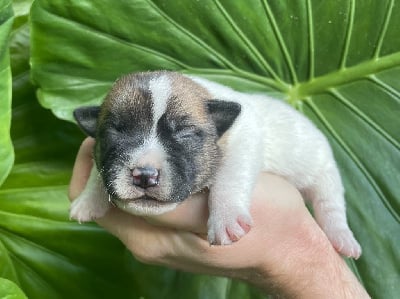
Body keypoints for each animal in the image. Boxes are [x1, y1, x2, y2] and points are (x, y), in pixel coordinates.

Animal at [69, 71, 362, 260]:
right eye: (115, 132)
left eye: (185, 133)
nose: (144, 175)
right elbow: (99, 170)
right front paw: (87, 200)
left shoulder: (245, 136)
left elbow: (229, 177)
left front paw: (226, 218)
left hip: (322, 167)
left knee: (330, 203)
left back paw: (342, 237)